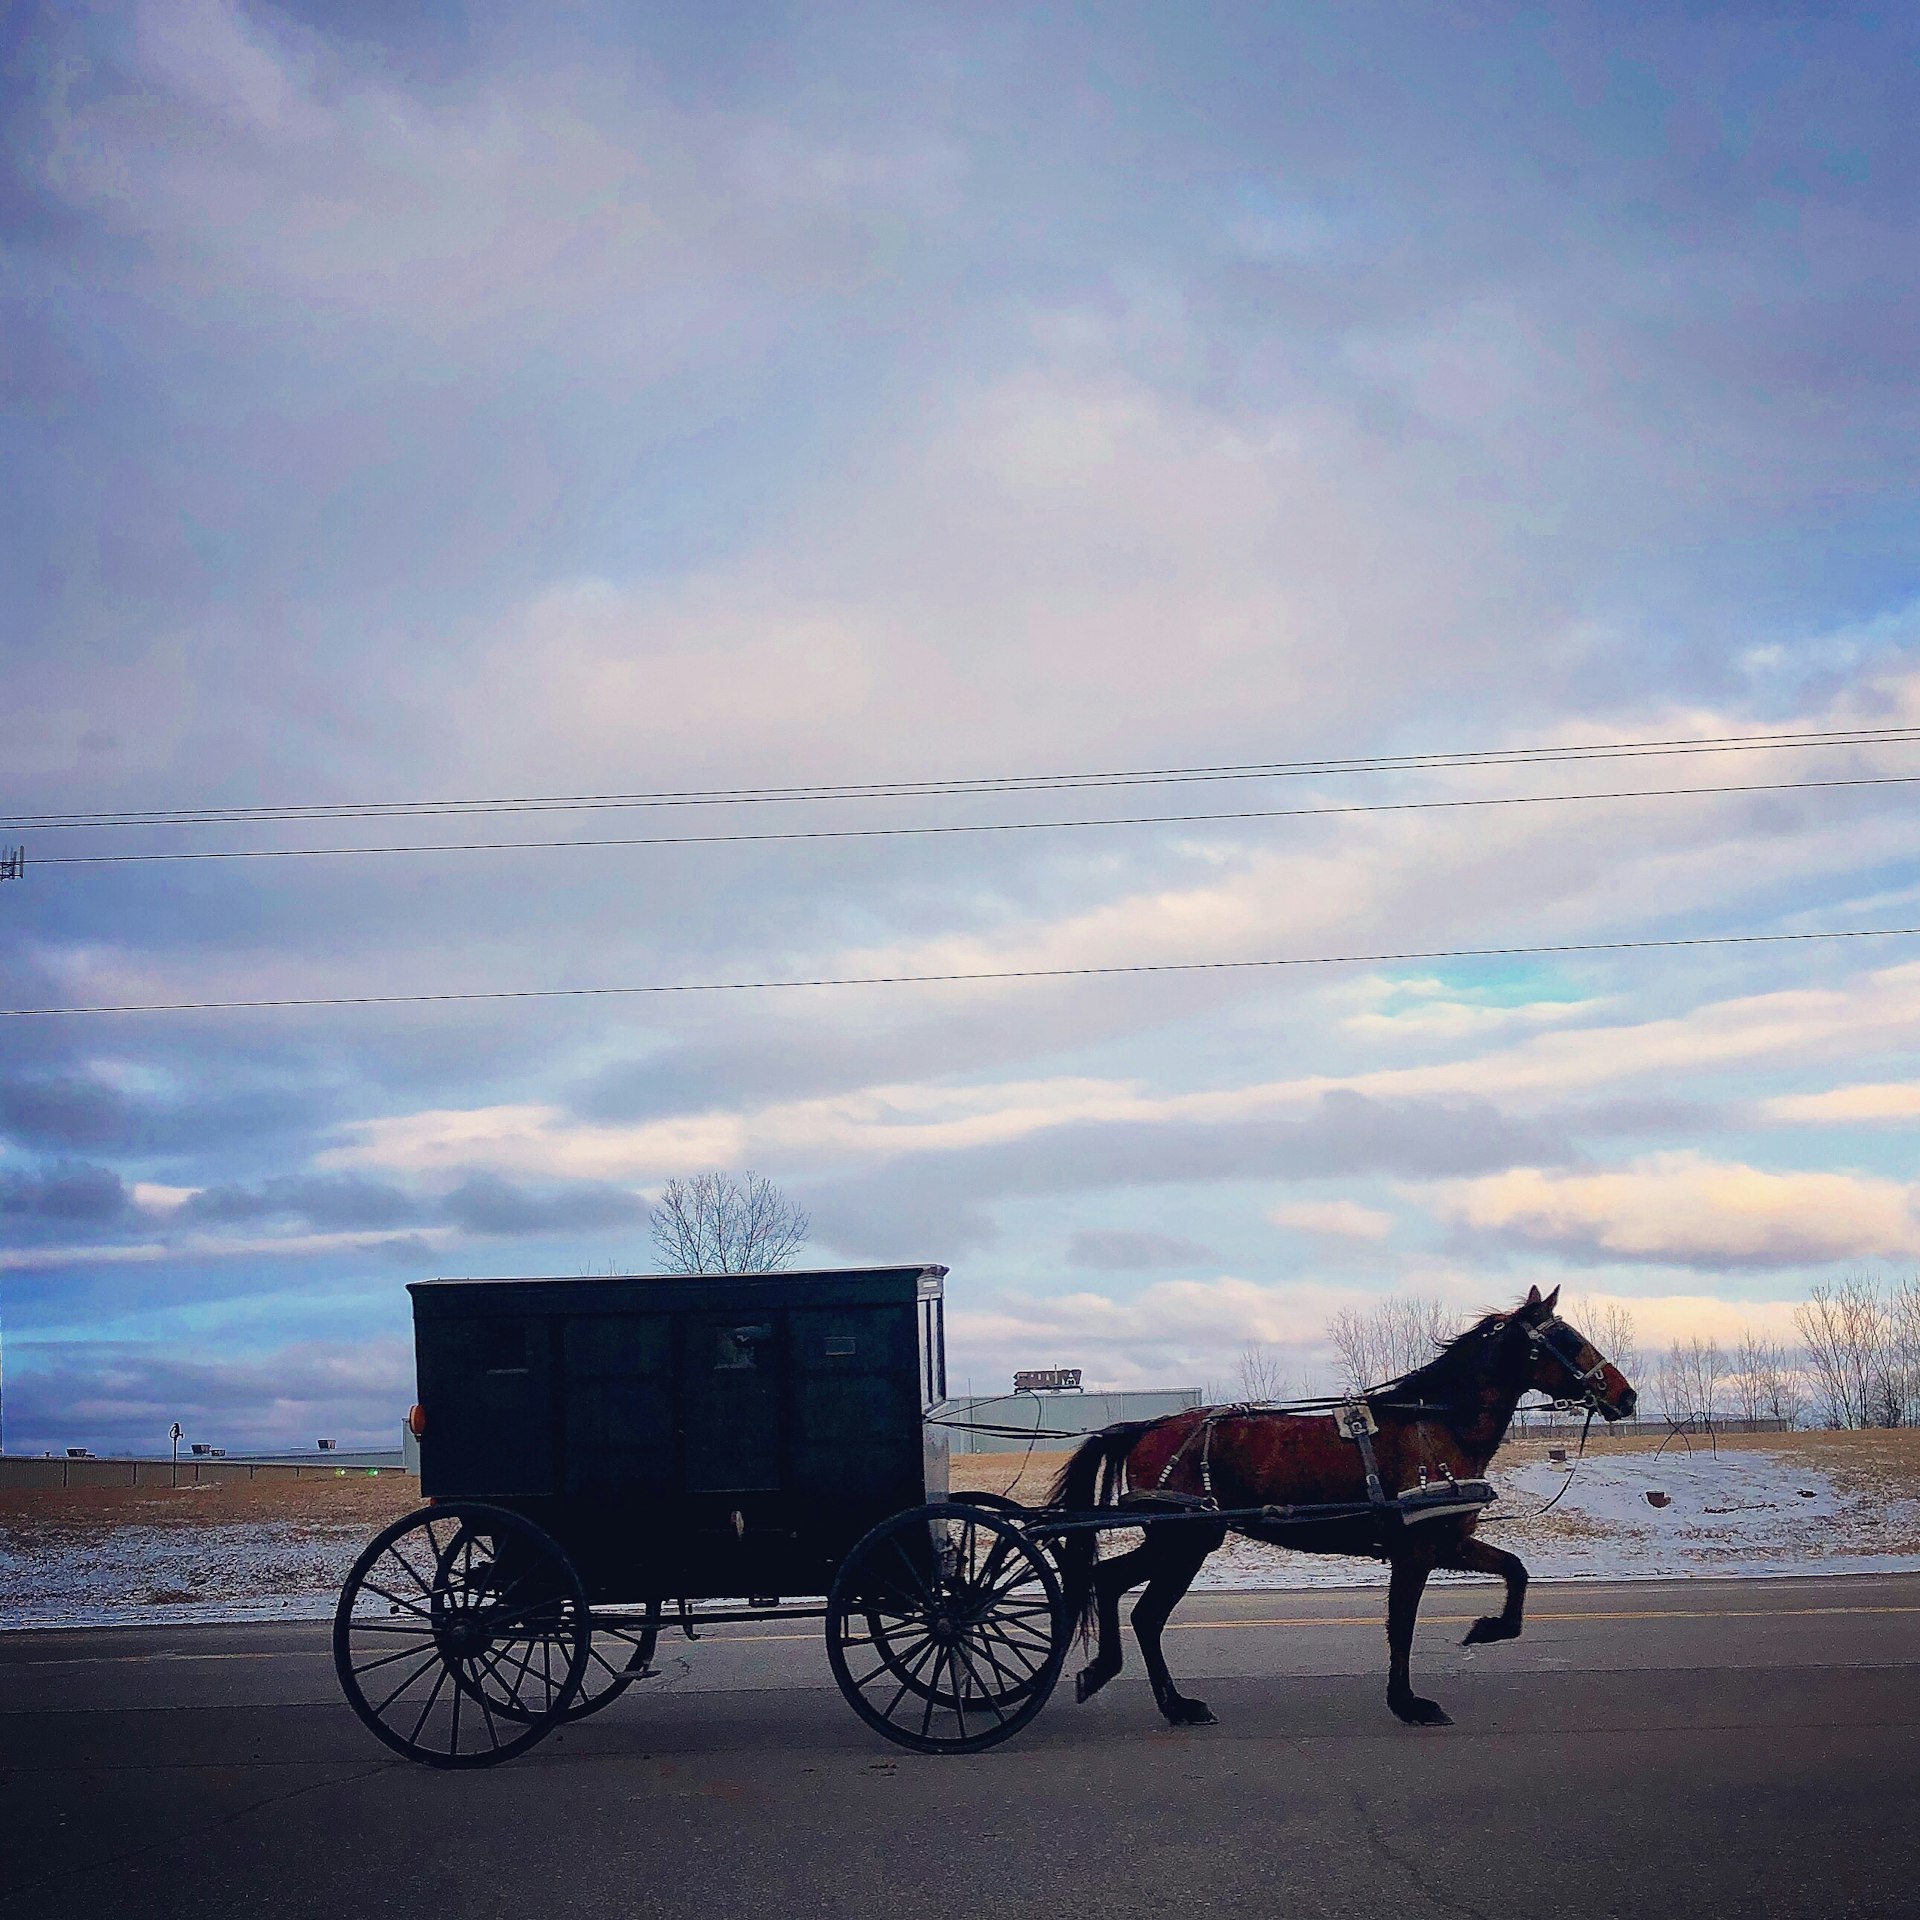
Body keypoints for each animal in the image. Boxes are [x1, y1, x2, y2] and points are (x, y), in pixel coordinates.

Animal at [1052, 1290, 1635, 1728]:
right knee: (1142, 1609)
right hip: (1184, 1542)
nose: (1626, 1397)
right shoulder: (1417, 1550)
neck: (1435, 1423)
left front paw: (1487, 1629)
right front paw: (1408, 1703)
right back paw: (1161, 1697)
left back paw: (1133, 1686)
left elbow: (1515, 1571)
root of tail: (1146, 1427)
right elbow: (1402, 1624)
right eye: (1568, 1340)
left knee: (1119, 1591)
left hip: (1179, 1542)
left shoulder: (1446, 1541)